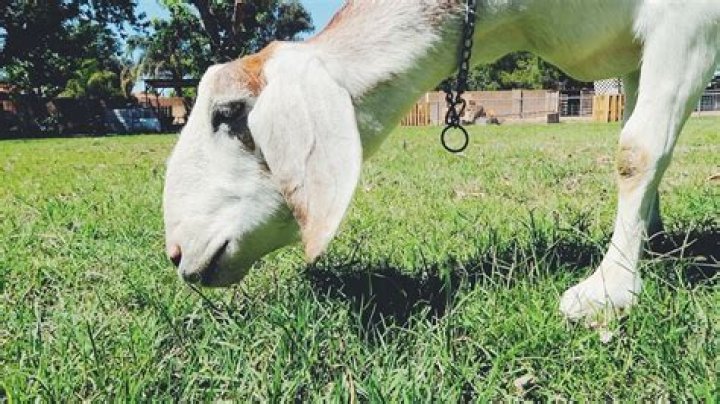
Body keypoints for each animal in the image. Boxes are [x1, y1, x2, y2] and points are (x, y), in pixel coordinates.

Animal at [163, 0, 719, 320]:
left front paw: (609, 288)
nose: (176, 252)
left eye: (228, 114)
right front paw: (654, 241)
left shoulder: (688, 21)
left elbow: (636, 152)